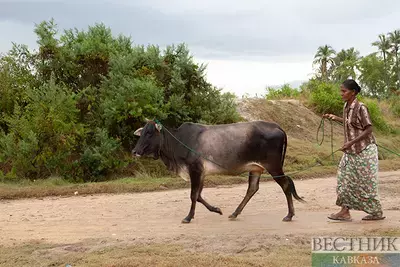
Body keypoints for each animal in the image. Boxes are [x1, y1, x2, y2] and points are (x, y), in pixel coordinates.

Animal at [133, 120, 304, 224]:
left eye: (149, 133)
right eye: (141, 133)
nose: (135, 151)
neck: (178, 143)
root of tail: (278, 127)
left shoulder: (195, 170)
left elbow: (193, 195)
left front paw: (188, 217)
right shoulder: (201, 173)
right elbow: (199, 196)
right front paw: (217, 210)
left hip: (274, 167)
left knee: (285, 185)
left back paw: (289, 215)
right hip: (256, 168)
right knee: (252, 188)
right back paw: (235, 213)